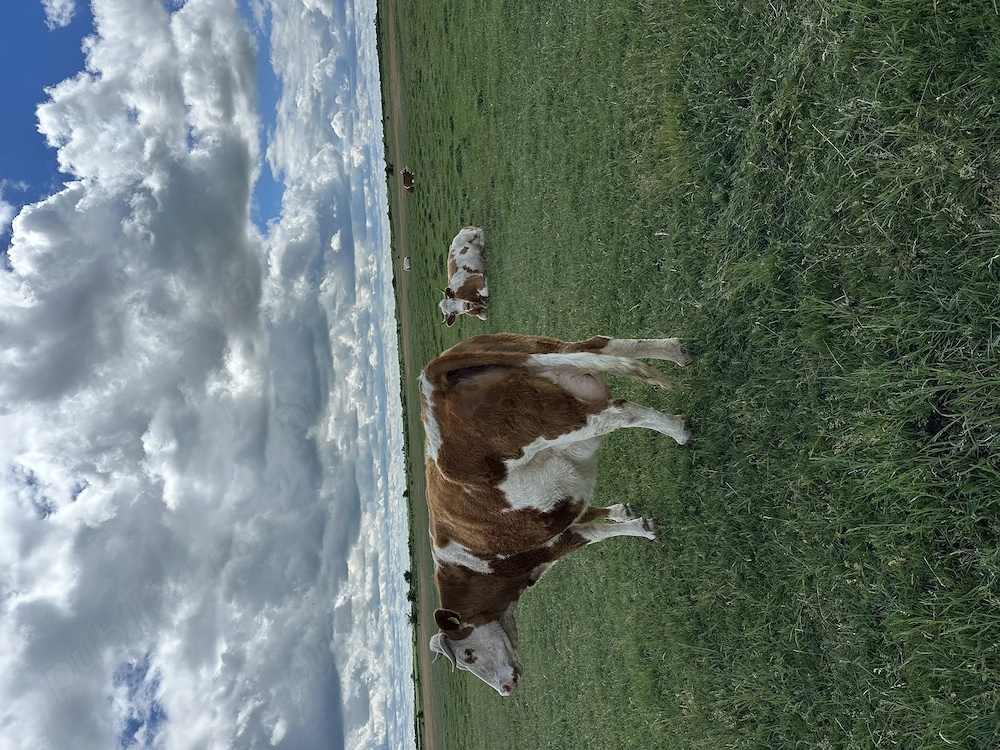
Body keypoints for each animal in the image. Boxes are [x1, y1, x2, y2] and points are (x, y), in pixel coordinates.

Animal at [419, 333, 691, 695]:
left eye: (468, 655)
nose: (505, 690)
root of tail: (432, 377)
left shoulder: (549, 544)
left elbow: (596, 534)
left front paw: (641, 527)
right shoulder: (560, 509)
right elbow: (595, 516)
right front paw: (628, 515)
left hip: (557, 420)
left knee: (617, 412)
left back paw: (678, 430)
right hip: (549, 354)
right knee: (603, 346)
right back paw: (676, 351)